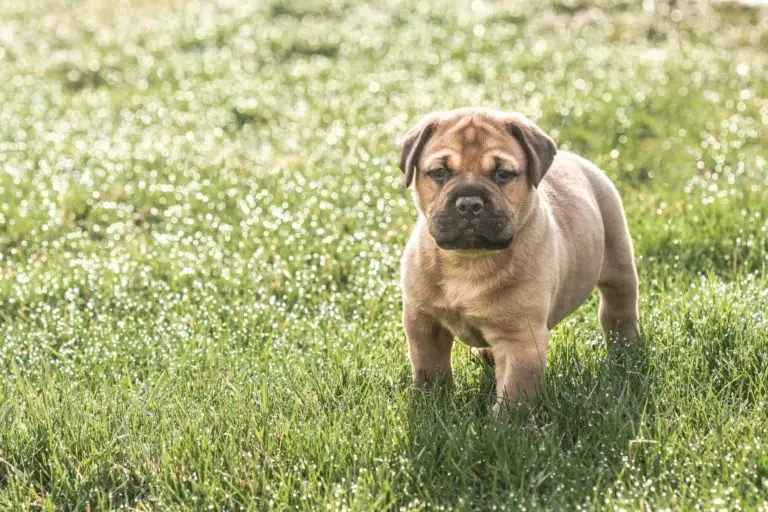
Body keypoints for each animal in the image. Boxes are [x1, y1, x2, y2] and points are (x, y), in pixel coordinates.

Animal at [400, 107, 640, 412]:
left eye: (503, 174)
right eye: (440, 173)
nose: (469, 203)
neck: (468, 261)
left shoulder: (520, 340)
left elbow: (513, 395)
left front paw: (504, 424)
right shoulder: (424, 322)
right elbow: (430, 368)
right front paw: (430, 405)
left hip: (618, 260)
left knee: (618, 310)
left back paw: (626, 351)